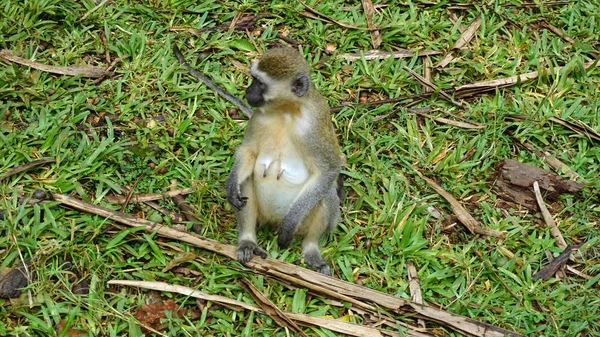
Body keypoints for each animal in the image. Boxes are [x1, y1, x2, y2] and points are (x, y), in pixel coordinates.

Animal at [226, 46, 342, 272]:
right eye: (253, 79)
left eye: (260, 83)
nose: (248, 92)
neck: (285, 110)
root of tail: (272, 221)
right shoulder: (258, 117)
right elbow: (248, 152)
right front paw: (231, 184)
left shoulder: (312, 126)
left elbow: (329, 170)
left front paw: (290, 224)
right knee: (247, 179)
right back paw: (247, 241)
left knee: (326, 193)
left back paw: (311, 249)